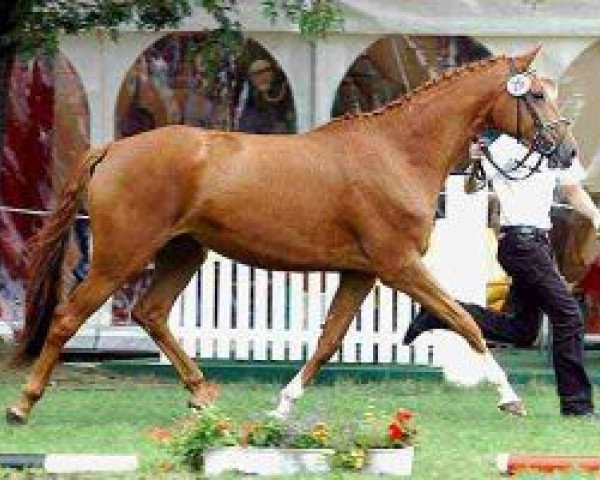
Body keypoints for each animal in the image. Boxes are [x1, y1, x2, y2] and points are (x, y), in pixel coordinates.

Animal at [8, 47, 576, 422]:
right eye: (536, 94)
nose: (567, 152)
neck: (397, 152)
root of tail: (113, 149)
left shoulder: (360, 273)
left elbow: (327, 341)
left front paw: (283, 404)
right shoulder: (400, 267)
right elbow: (465, 321)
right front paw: (510, 397)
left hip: (183, 252)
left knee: (151, 313)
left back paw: (203, 394)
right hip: (119, 258)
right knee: (66, 318)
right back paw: (23, 404)